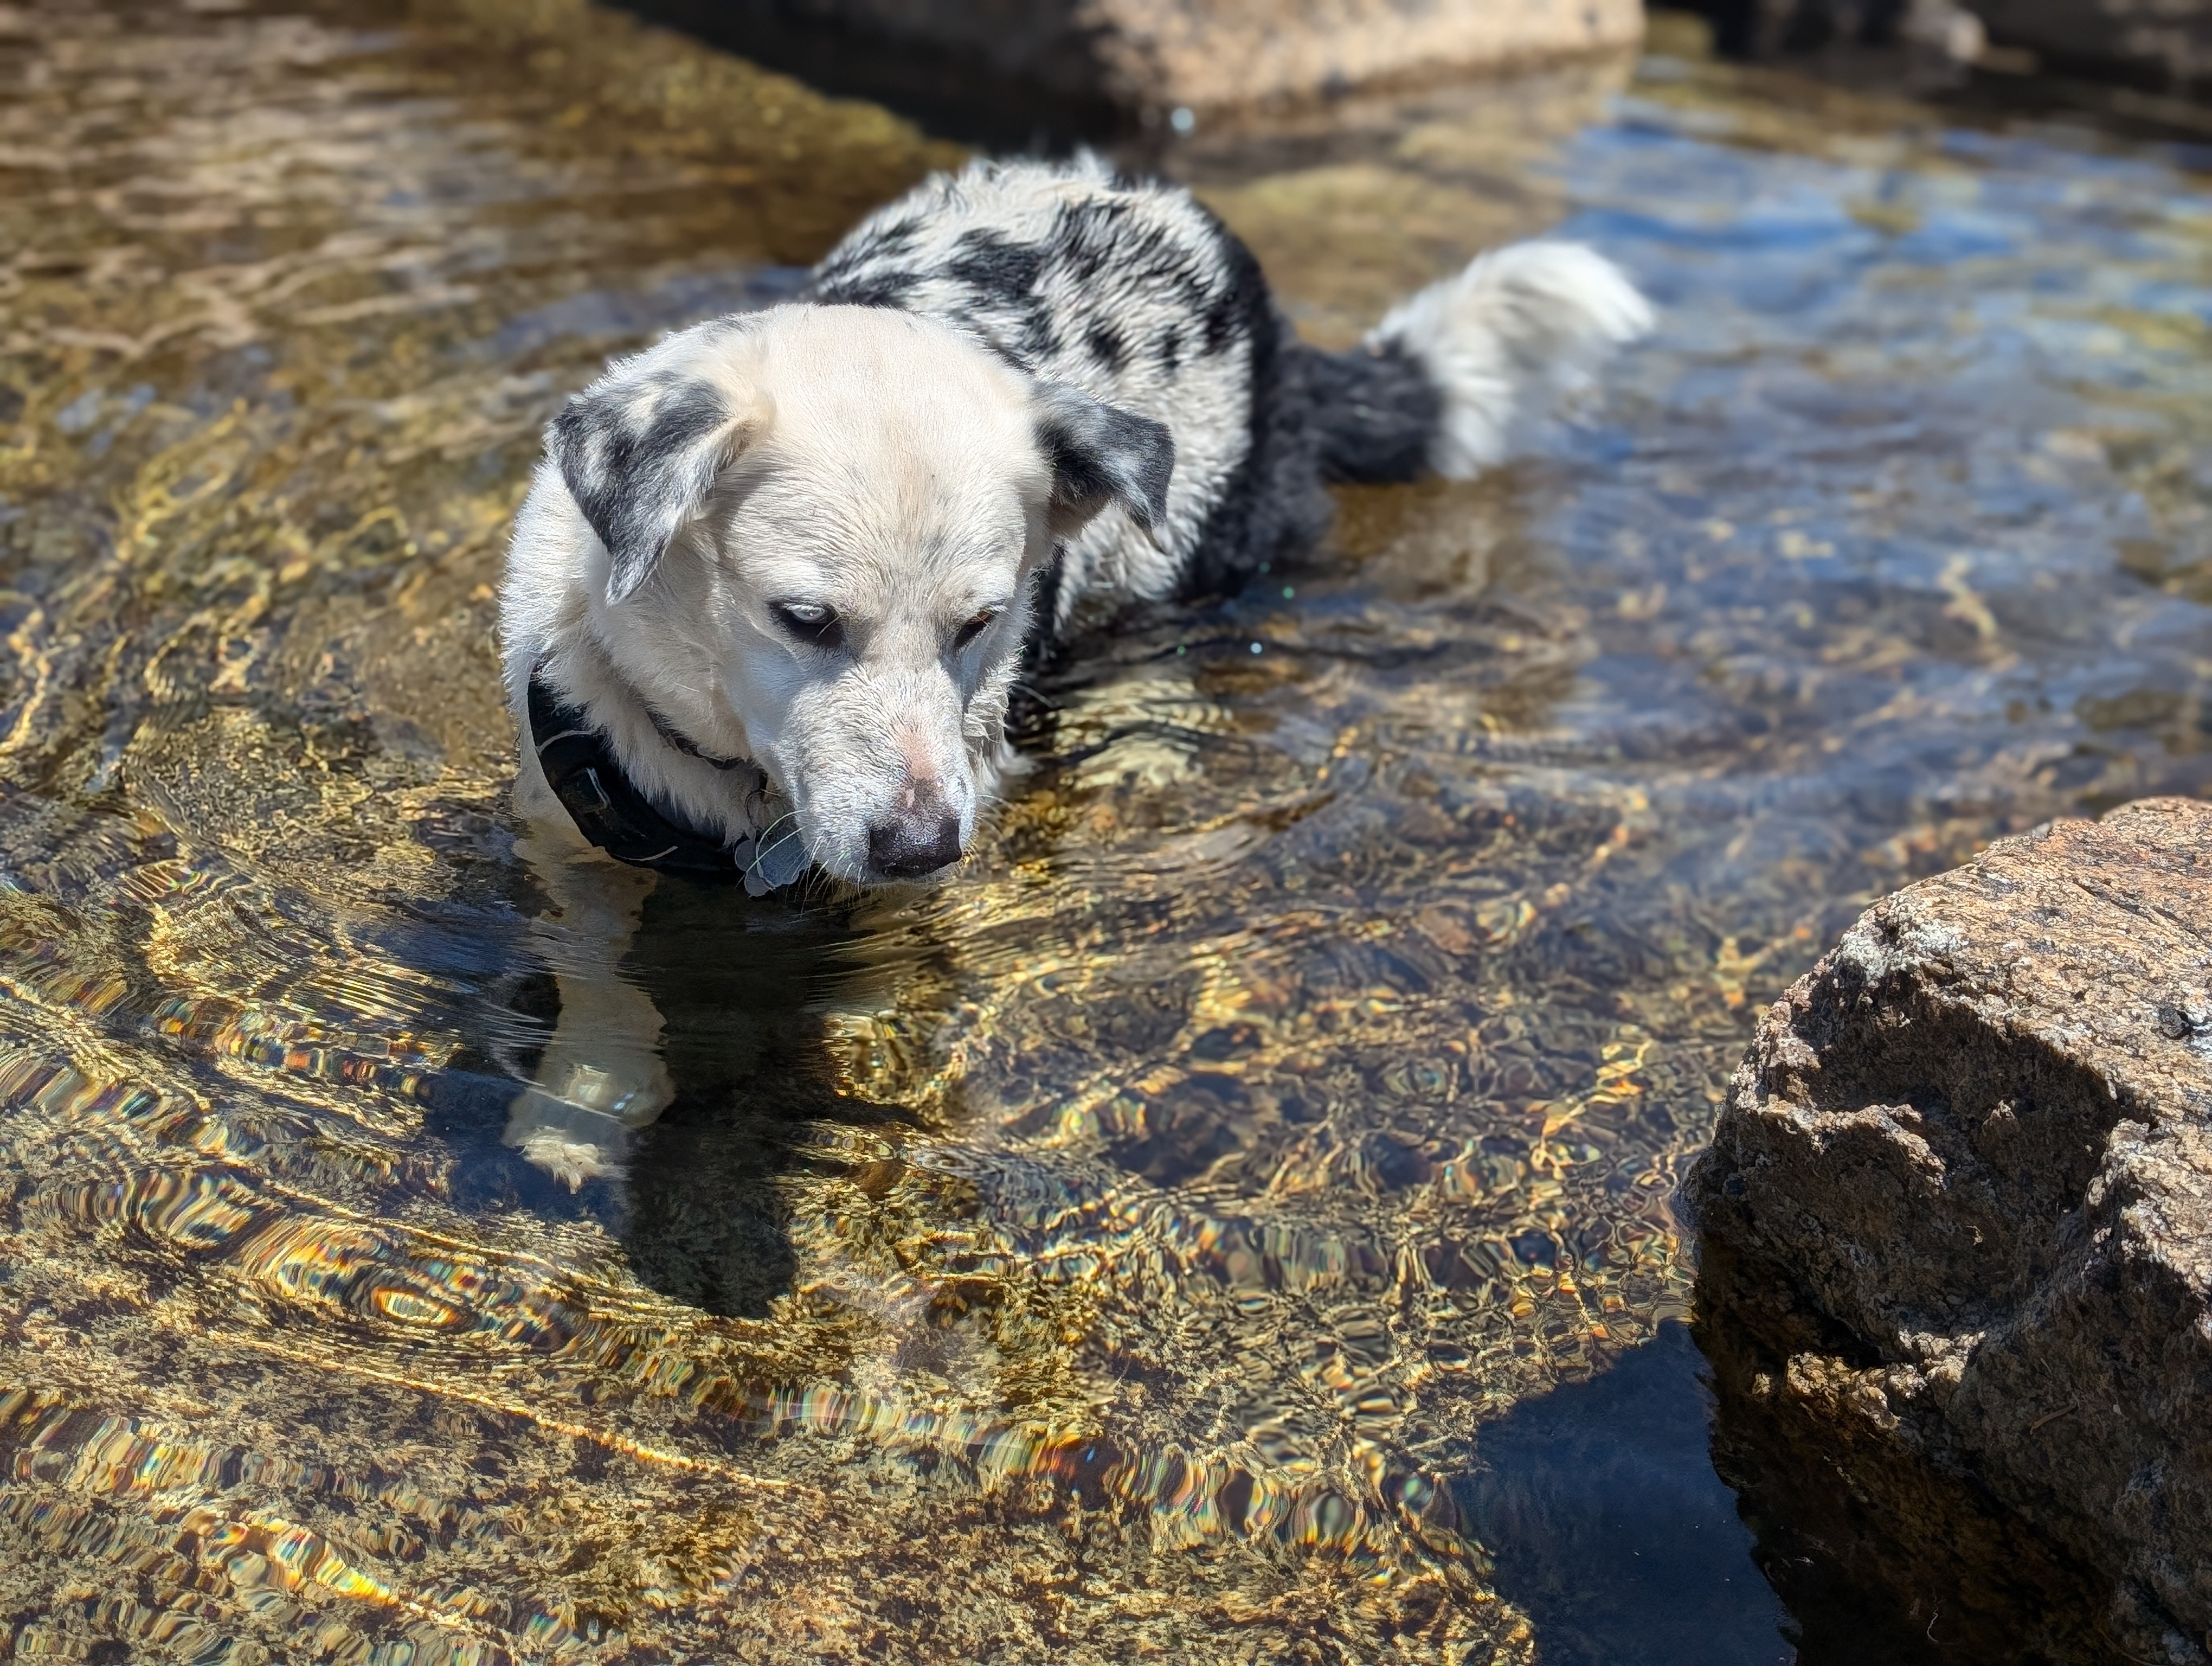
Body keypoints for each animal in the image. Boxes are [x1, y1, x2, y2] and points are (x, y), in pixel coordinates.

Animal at [498, 149, 1645, 1177]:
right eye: (804, 618)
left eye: (982, 620)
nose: (922, 843)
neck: (742, 792)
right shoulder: (569, 838)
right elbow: (598, 974)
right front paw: (584, 1105)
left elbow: (882, 962)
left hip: (1179, 563)